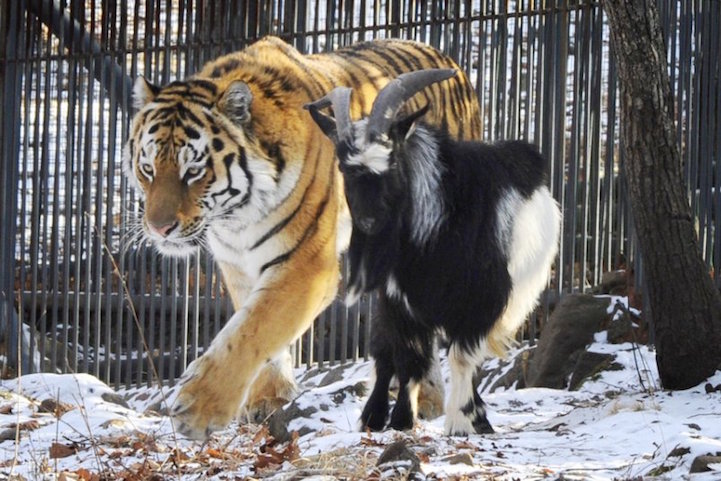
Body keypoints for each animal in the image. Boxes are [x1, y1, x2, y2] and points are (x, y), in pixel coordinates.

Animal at [123, 35, 480, 436]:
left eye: (193, 172)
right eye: (148, 169)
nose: (159, 228)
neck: (237, 216)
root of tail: (451, 63)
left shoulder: (305, 264)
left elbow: (255, 327)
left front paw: (198, 408)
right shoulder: (239, 264)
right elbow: (251, 326)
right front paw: (268, 399)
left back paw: (430, 401)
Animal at [304, 70, 564, 436]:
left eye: (392, 161)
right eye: (343, 167)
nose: (369, 221)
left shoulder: (479, 303)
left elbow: (460, 358)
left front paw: (462, 421)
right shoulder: (398, 301)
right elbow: (402, 357)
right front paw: (393, 418)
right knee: (393, 353)